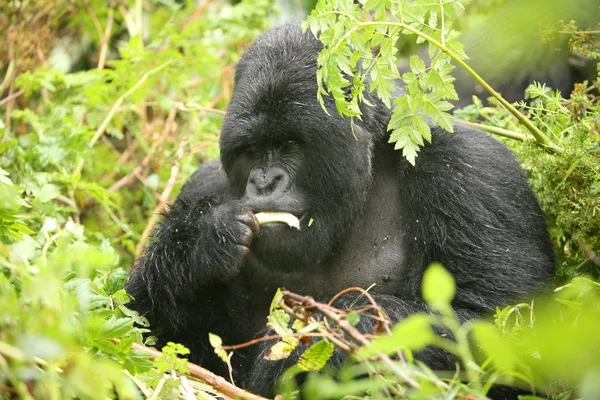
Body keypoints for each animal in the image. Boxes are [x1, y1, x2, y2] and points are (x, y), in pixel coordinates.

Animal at [124, 22, 556, 396]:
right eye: (252, 151)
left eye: (288, 145)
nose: (264, 182)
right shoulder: (201, 187)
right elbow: (142, 331)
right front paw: (199, 245)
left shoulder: (472, 169)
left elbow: (498, 327)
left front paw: (317, 339)